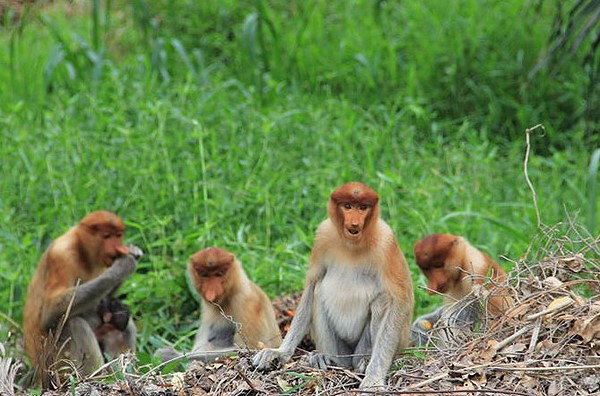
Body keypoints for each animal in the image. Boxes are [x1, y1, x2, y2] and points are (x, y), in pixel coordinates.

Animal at [22, 212, 142, 386]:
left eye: (118, 235)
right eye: (106, 236)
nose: (117, 248)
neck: (82, 251)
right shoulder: (61, 256)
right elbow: (50, 313)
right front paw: (124, 263)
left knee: (124, 326)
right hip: (56, 366)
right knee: (75, 324)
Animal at [252, 182, 412, 390]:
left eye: (363, 207)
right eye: (348, 206)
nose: (354, 223)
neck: (352, 244)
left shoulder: (386, 242)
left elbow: (401, 299)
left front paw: (374, 378)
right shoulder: (323, 235)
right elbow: (311, 285)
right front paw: (279, 352)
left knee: (384, 301)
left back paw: (364, 362)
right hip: (342, 350)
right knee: (318, 291)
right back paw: (328, 359)